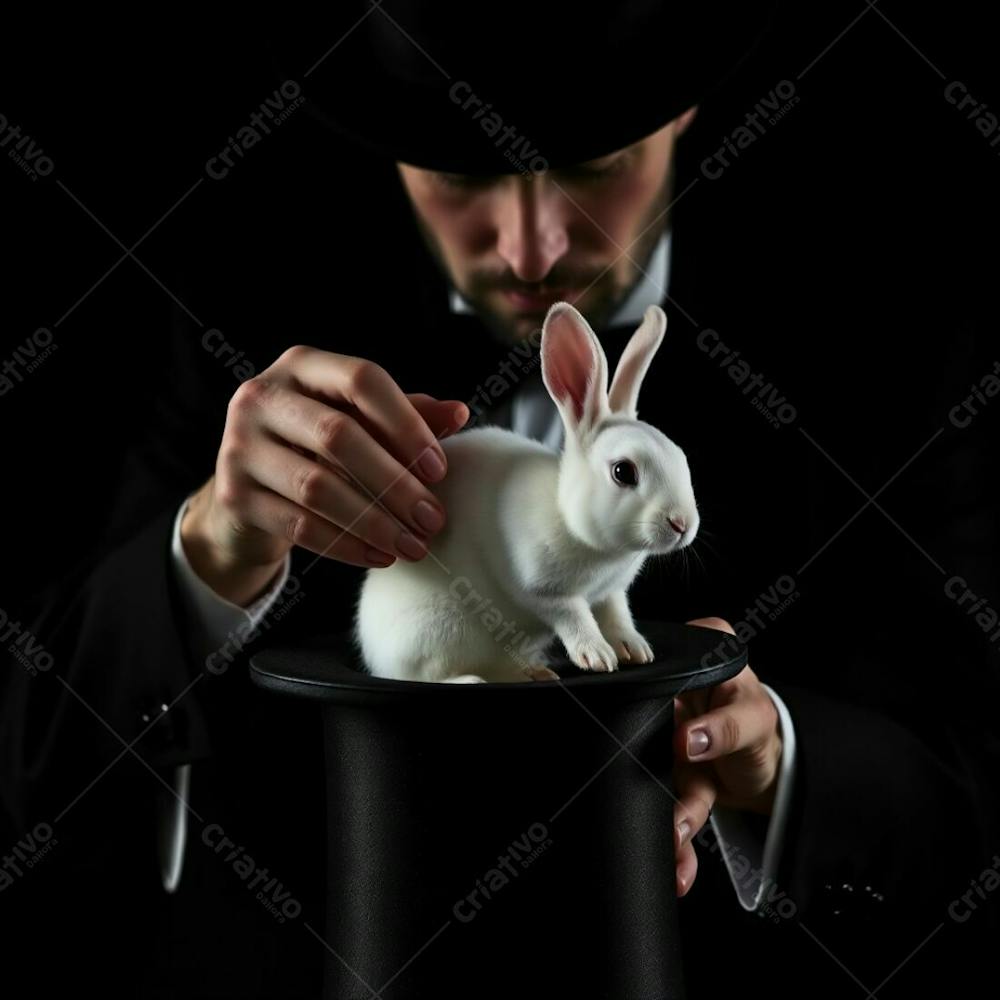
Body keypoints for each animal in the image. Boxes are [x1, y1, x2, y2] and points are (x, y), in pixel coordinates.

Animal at [352, 300, 696, 684]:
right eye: (623, 472)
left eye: (682, 458)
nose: (683, 524)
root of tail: (374, 655)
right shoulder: (544, 590)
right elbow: (574, 616)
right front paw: (597, 655)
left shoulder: (611, 592)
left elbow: (616, 614)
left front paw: (634, 648)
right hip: (436, 633)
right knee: (427, 674)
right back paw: (473, 680)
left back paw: (535, 673)